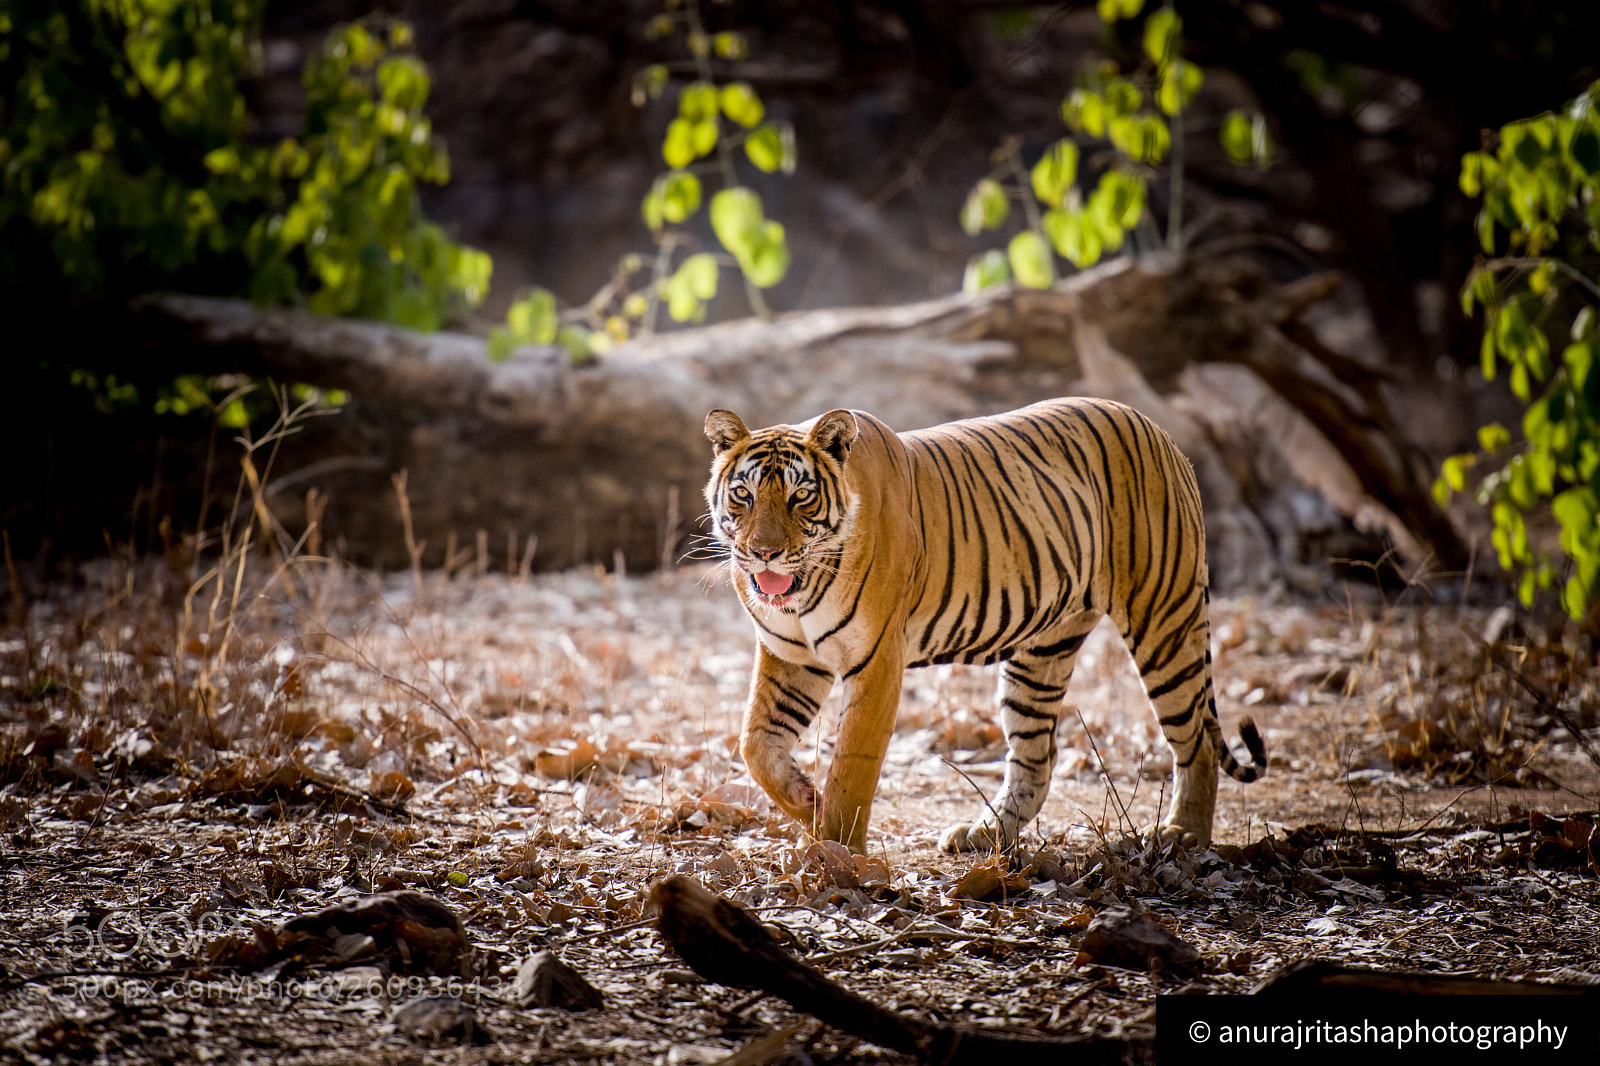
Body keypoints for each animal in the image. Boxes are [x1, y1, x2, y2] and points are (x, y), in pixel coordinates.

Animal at [702, 396, 1265, 854]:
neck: (801, 594)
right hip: (1043, 652)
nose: (764, 553)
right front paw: (806, 800)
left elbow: (852, 764)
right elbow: (755, 745)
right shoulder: (790, 657)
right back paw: (985, 834)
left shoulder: (878, 661)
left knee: (1195, 738)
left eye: (801, 497)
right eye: (744, 496)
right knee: (1038, 754)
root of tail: (1158, 429)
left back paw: (1184, 833)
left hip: (1164, 618)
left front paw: (836, 851)